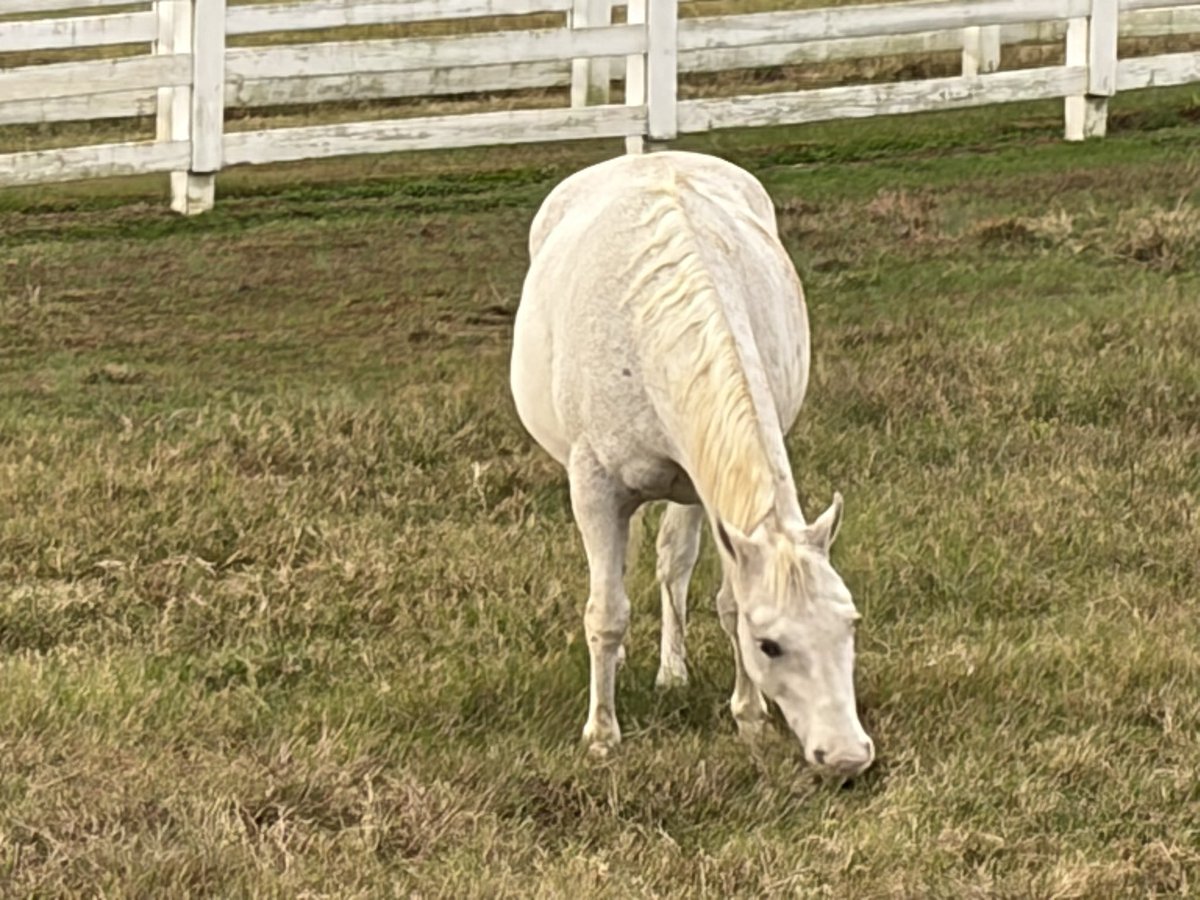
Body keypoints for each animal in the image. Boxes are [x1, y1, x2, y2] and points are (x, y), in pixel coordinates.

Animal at [510, 150, 874, 776]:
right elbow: (606, 611)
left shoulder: (709, 491)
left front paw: (749, 718)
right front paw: (601, 734)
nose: (847, 756)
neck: (648, 329)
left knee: (670, 564)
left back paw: (671, 671)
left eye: (849, 625)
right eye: (770, 644)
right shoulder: (594, 489)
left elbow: (724, 600)